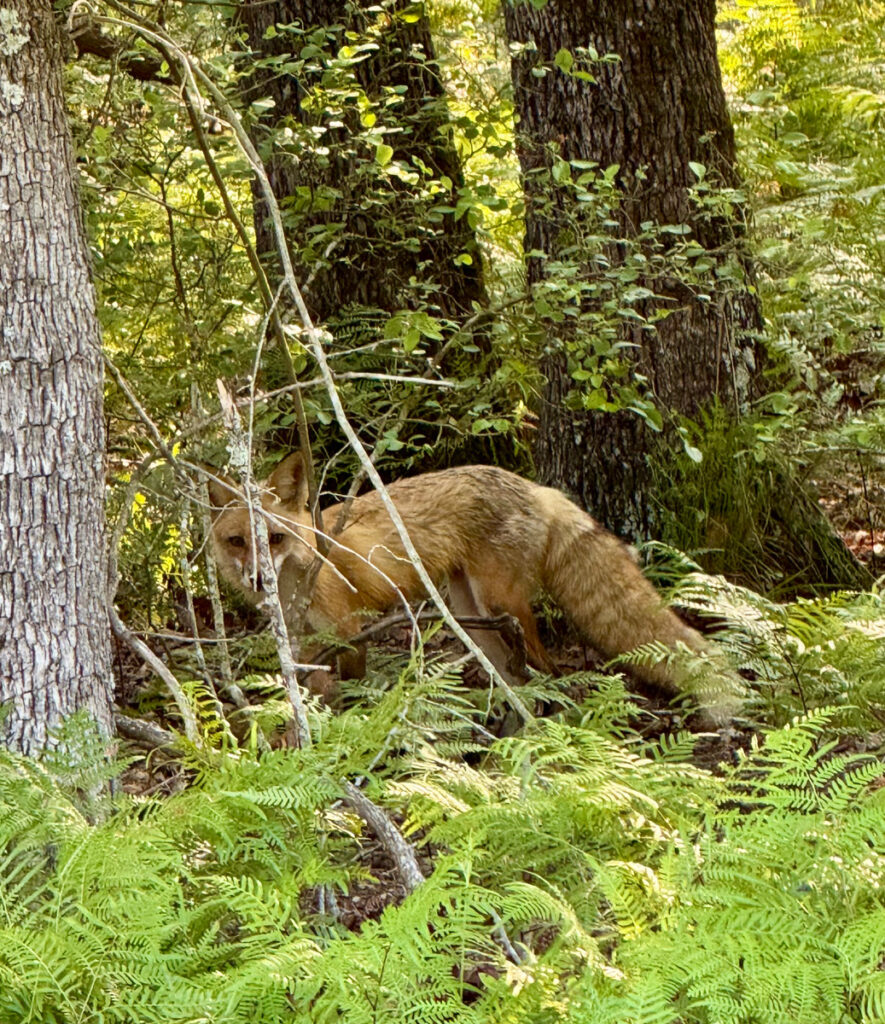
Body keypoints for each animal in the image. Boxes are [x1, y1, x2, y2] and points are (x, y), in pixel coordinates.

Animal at [206, 453, 742, 723]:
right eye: (237, 541)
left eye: (274, 538)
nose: (257, 579)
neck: (305, 571)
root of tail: (536, 487)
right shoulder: (304, 642)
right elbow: (308, 694)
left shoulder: (348, 630)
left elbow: (347, 694)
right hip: (475, 617)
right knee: (515, 678)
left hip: (500, 605)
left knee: (546, 671)